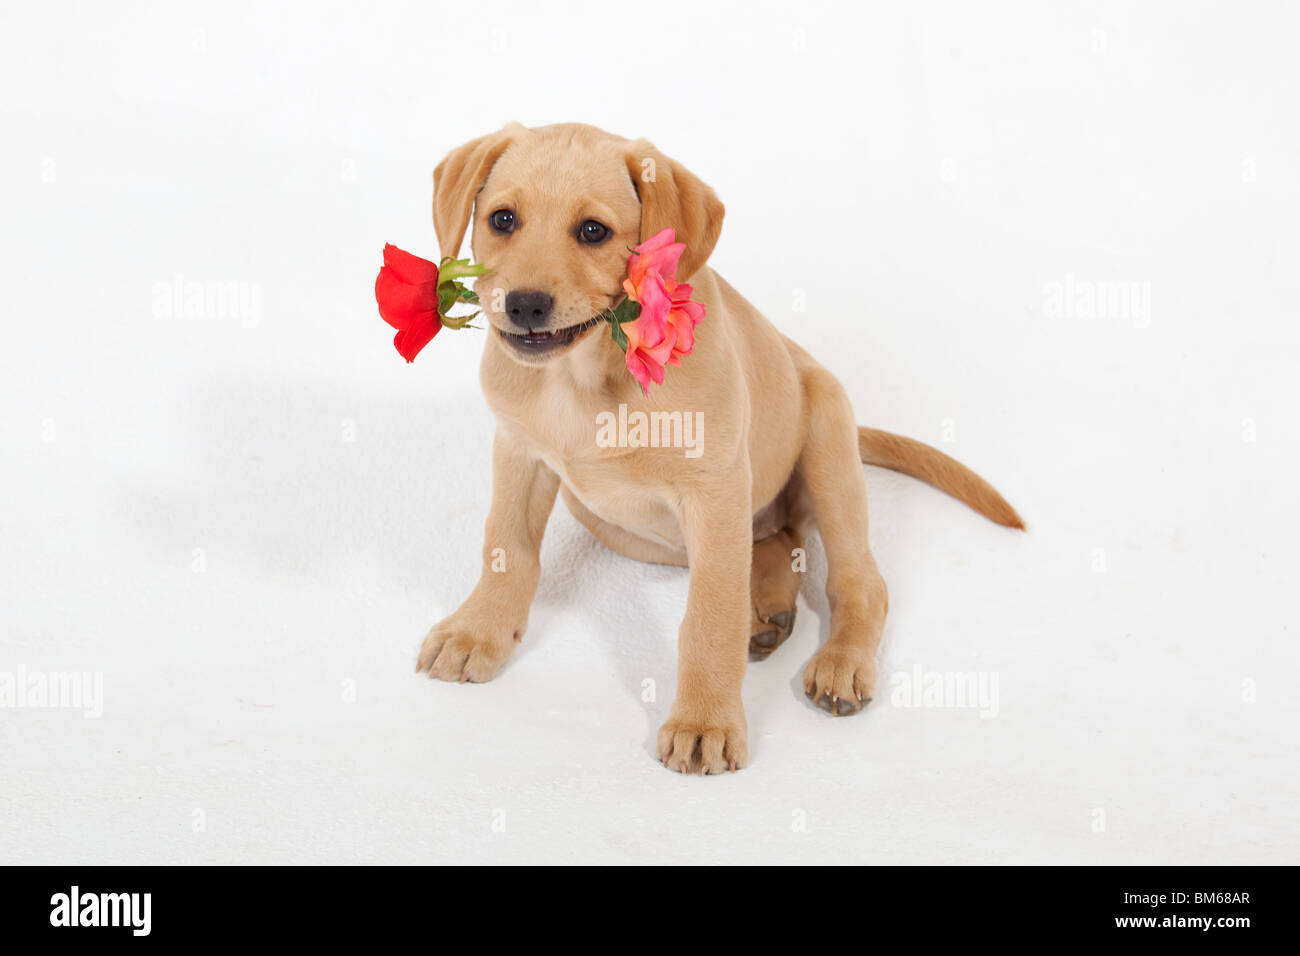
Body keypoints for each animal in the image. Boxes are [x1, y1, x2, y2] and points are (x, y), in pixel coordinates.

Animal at [416, 123, 1024, 775]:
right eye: (502, 219)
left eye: (593, 231)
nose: (524, 304)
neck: (582, 378)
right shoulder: (519, 452)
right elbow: (506, 548)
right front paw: (477, 632)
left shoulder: (713, 489)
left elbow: (710, 614)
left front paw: (703, 720)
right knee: (776, 539)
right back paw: (768, 615)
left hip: (829, 447)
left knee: (857, 579)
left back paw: (838, 661)